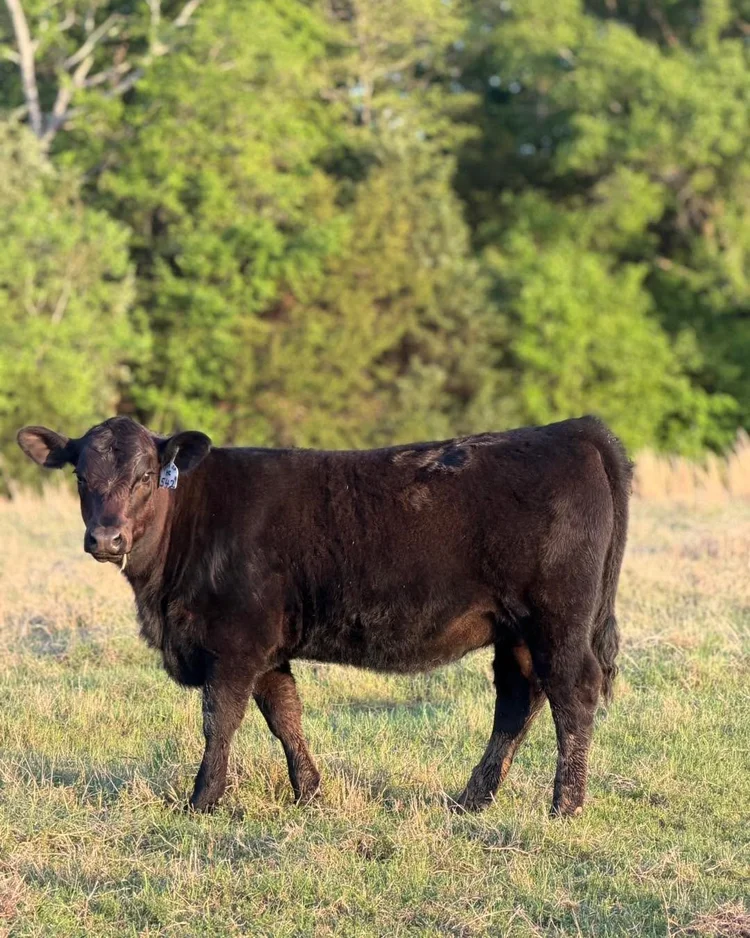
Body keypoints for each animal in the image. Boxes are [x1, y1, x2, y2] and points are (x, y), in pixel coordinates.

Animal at [17, 415, 630, 816]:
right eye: (79, 476)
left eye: (146, 475)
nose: (106, 538)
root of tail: (573, 430)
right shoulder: (266, 647)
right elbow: (284, 714)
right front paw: (308, 791)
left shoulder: (234, 640)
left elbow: (221, 720)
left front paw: (201, 800)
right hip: (517, 630)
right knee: (519, 700)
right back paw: (470, 800)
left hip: (558, 620)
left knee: (572, 695)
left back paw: (565, 806)